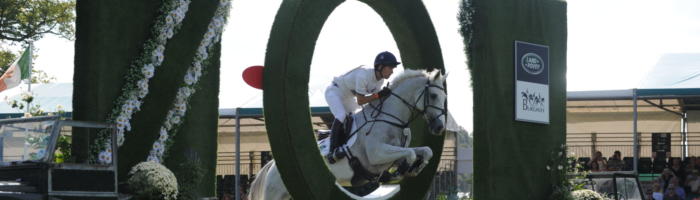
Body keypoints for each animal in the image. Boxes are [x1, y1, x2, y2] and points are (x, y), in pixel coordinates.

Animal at [249, 69, 446, 200]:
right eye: (434, 96)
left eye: (444, 98)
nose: (439, 127)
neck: (389, 117)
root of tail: (272, 166)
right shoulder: (377, 155)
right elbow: (411, 153)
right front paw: (403, 170)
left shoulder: (392, 154)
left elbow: (425, 151)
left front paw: (413, 168)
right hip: (275, 194)